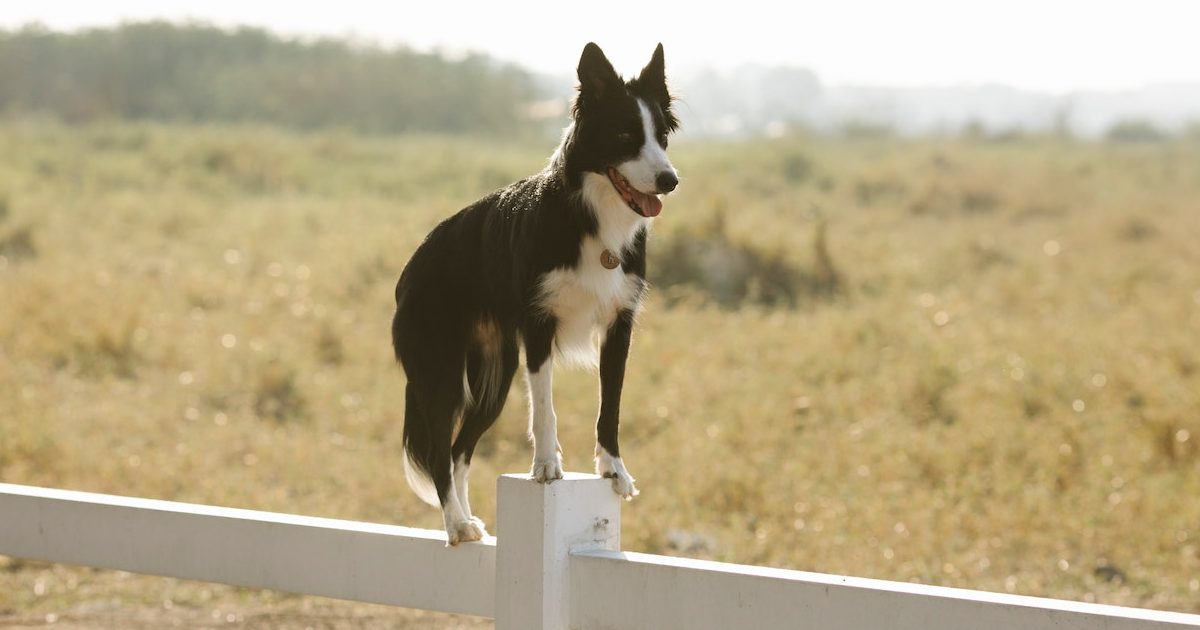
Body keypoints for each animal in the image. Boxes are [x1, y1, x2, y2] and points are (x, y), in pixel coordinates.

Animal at [391, 42, 681, 544]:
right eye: (625, 134)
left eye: (662, 136)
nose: (670, 180)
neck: (593, 218)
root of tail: (413, 265)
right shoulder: (539, 324)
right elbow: (545, 407)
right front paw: (546, 466)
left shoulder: (619, 325)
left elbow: (611, 405)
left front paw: (614, 469)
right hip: (441, 371)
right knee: (439, 453)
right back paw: (456, 525)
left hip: (495, 376)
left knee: (460, 451)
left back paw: (470, 520)